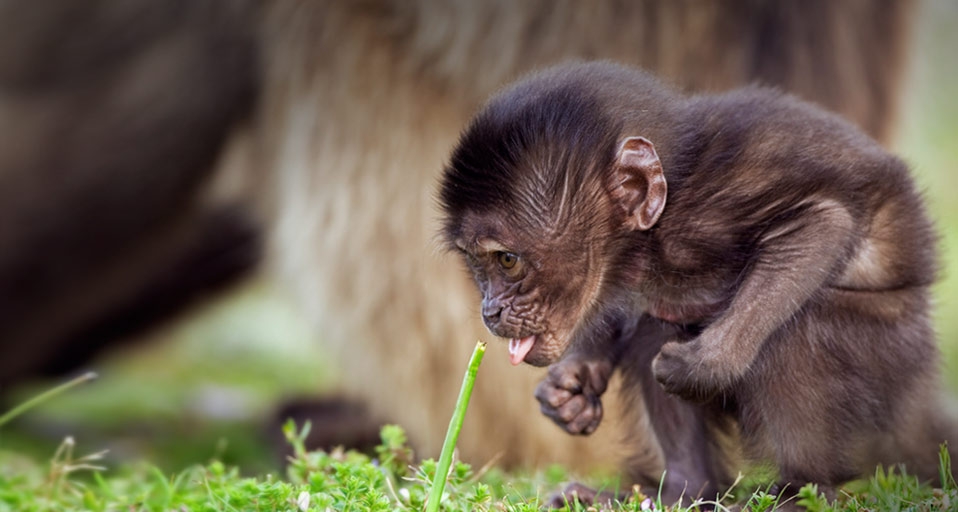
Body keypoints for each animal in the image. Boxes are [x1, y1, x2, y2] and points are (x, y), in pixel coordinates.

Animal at [439, 61, 956, 505]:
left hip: (889, 349)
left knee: (795, 333)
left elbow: (820, 222)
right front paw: (575, 382)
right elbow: (628, 312)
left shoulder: (710, 211)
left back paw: (802, 493)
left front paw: (707, 363)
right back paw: (684, 491)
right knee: (656, 327)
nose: (490, 310)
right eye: (476, 265)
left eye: (507, 261)